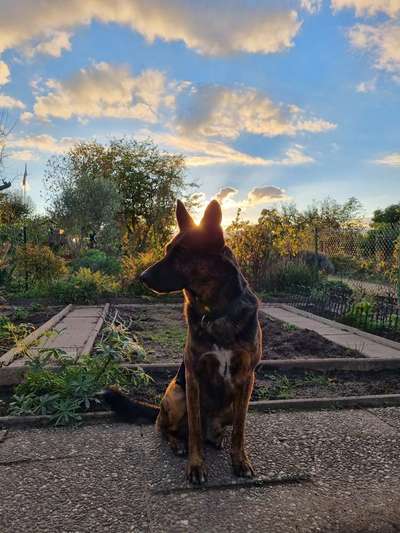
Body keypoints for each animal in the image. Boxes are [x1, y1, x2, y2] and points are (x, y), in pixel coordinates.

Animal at [104, 200, 262, 482]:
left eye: (181, 253)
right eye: (168, 249)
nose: (142, 276)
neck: (215, 311)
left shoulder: (247, 379)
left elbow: (240, 430)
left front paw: (240, 460)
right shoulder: (193, 376)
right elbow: (195, 430)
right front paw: (196, 465)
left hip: (229, 406)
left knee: (217, 430)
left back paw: (217, 438)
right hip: (176, 395)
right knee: (166, 428)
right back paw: (178, 443)